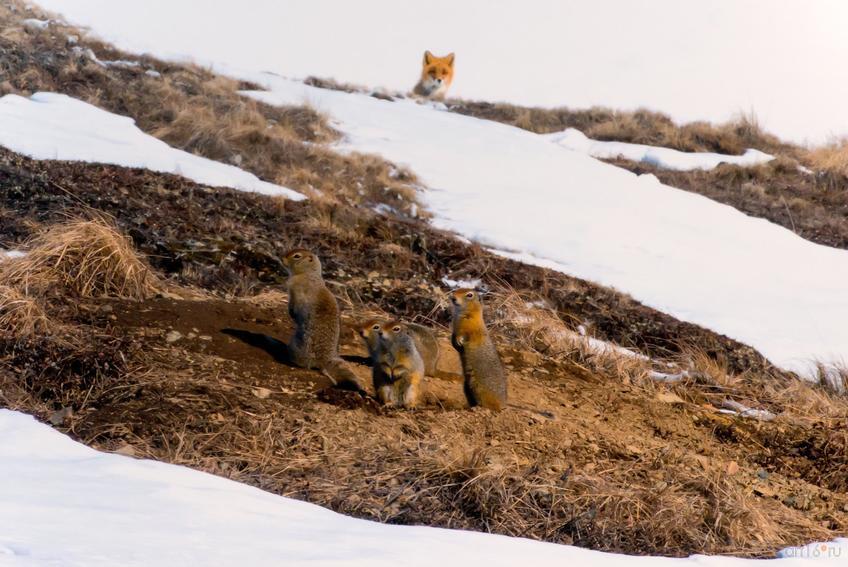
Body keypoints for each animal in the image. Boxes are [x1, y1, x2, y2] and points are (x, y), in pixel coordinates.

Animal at [284, 251, 362, 392]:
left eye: (297, 256)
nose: (282, 258)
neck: (309, 273)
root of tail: (324, 361)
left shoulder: (294, 289)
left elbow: (294, 305)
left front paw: (292, 314)